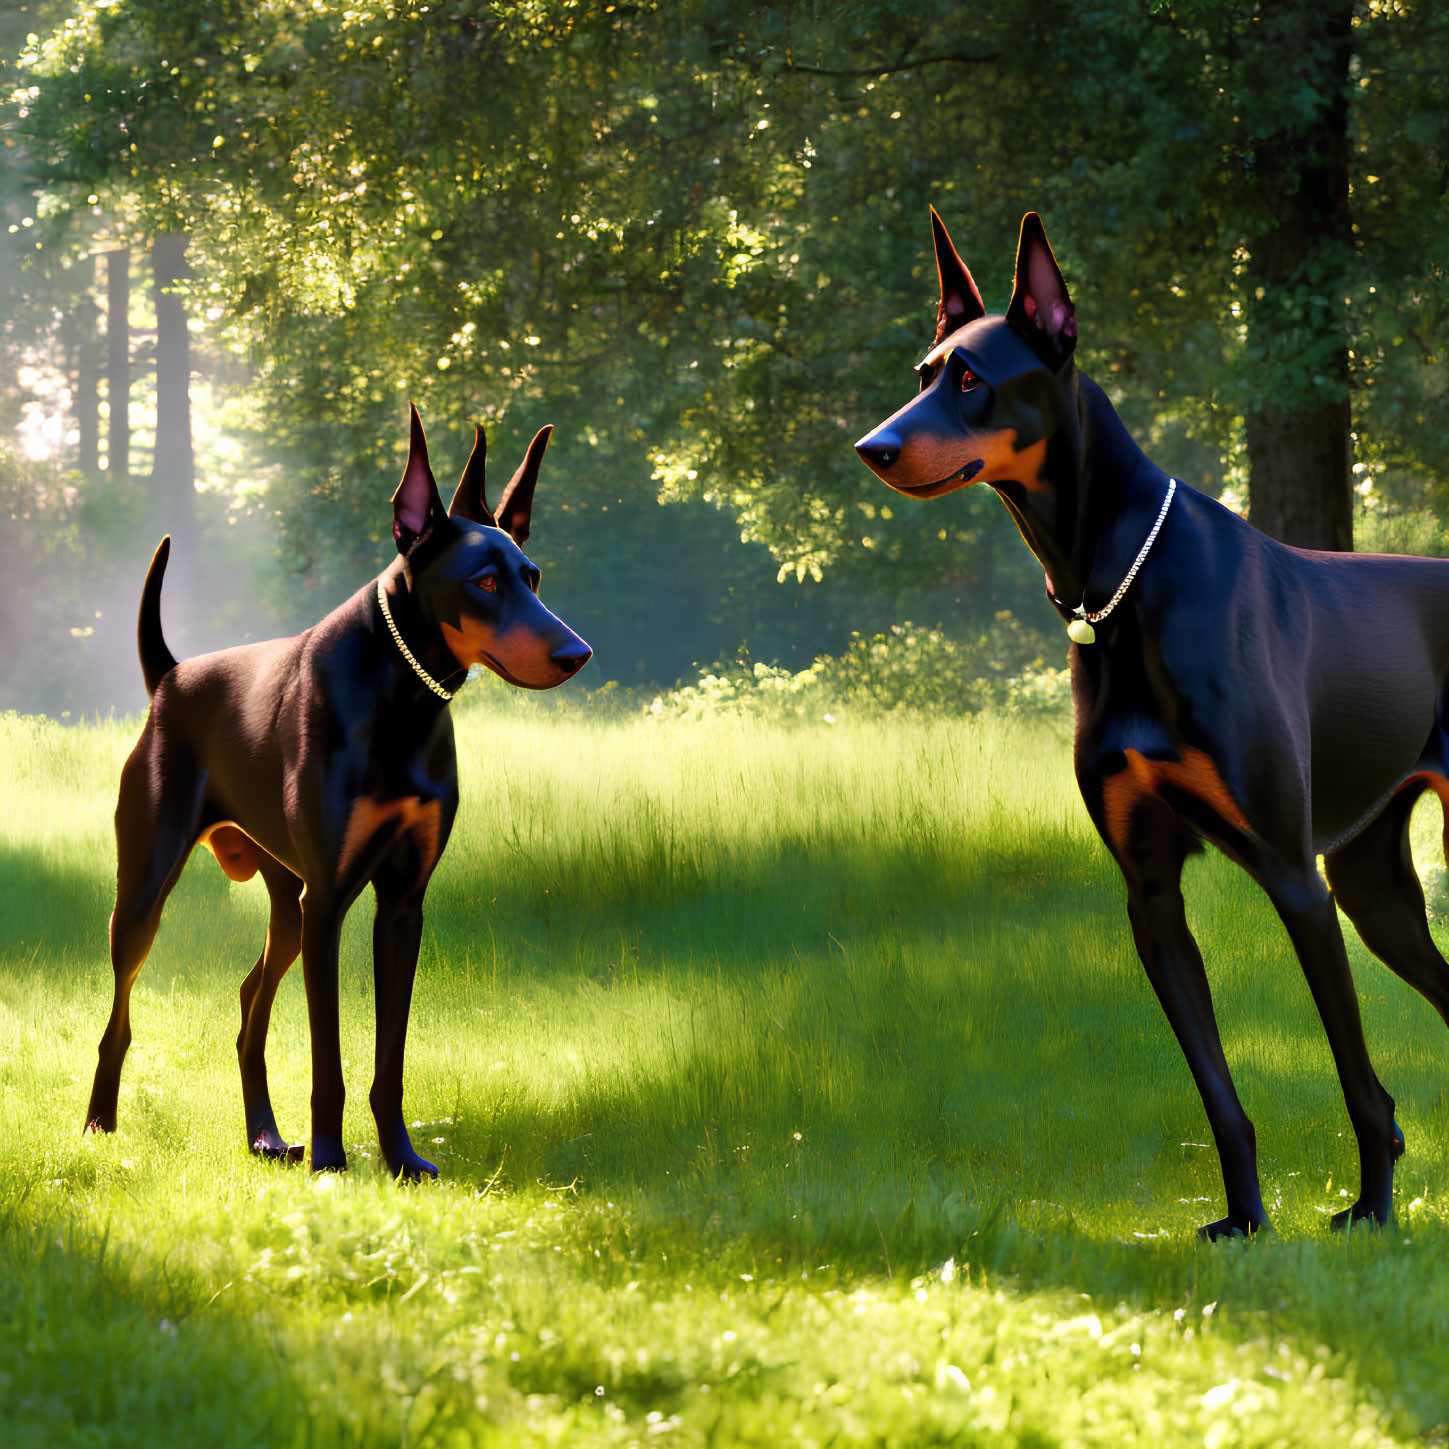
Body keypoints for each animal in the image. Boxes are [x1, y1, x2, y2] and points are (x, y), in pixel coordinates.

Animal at [84, 405, 591, 1176]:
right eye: (484, 582)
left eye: (532, 575)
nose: (576, 652)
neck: (403, 697)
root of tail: (169, 675)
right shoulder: (327, 901)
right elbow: (329, 1055)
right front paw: (330, 1161)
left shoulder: (403, 904)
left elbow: (391, 1056)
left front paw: (401, 1159)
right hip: (147, 891)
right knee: (120, 1013)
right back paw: (102, 1126)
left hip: (284, 896)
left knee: (249, 1003)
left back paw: (266, 1137)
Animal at [852, 211, 1443, 1234]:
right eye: (922, 370)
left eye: (970, 379)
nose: (871, 447)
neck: (1115, 581)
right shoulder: (1150, 893)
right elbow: (1218, 1093)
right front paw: (1245, 1224)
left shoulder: (1293, 878)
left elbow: (1357, 1078)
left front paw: (1371, 1210)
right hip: (1374, 887)